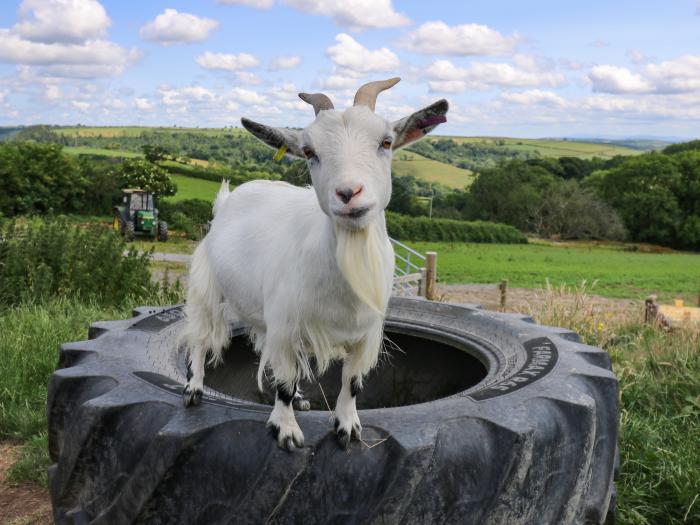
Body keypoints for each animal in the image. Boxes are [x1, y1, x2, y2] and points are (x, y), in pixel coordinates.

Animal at [180, 79, 448, 450]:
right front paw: (286, 429)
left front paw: (347, 427)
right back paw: (193, 388)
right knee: (200, 337)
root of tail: (227, 198)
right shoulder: (285, 325)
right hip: (207, 287)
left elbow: (351, 382)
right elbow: (283, 381)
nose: (349, 193)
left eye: (386, 142)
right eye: (309, 152)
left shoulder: (365, 333)